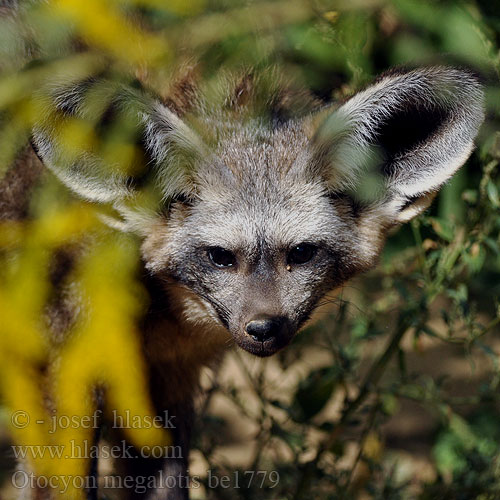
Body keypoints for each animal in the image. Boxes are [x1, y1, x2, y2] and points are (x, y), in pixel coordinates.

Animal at [0, 63, 484, 500]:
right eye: (220, 257)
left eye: (301, 253)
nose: (264, 328)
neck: (155, 317)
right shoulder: (61, 383)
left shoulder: (164, 385)